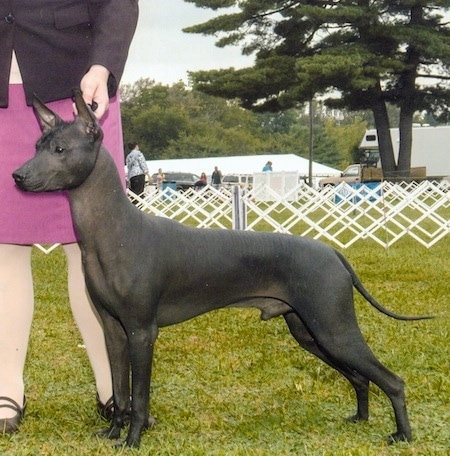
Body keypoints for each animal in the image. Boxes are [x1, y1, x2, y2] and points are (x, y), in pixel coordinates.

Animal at [12, 91, 430, 448]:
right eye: (37, 146)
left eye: (60, 150)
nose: (17, 176)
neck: (114, 232)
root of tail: (332, 252)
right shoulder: (113, 332)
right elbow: (119, 388)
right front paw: (113, 432)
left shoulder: (142, 333)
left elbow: (140, 395)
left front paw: (133, 440)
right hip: (310, 333)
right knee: (360, 377)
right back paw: (360, 419)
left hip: (332, 328)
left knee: (391, 380)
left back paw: (402, 435)